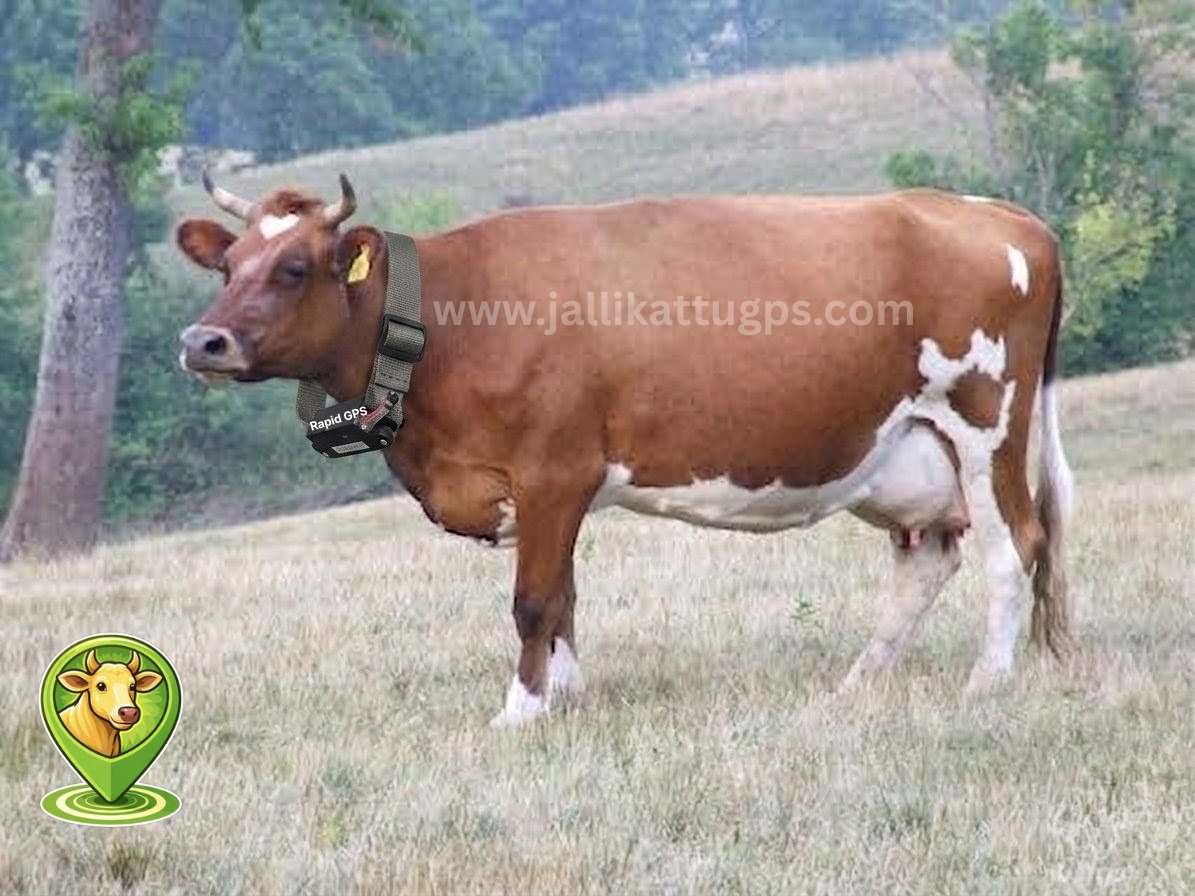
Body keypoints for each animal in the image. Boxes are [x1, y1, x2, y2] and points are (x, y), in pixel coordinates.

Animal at [176, 175, 1074, 727]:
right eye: (228, 264)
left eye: (295, 267)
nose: (201, 341)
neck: (449, 322)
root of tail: (1005, 215)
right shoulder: (555, 490)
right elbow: (565, 600)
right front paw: (564, 696)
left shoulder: (550, 472)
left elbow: (533, 601)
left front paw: (520, 710)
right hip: (904, 455)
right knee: (929, 557)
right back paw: (861, 679)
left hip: (986, 423)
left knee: (1013, 547)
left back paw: (985, 681)